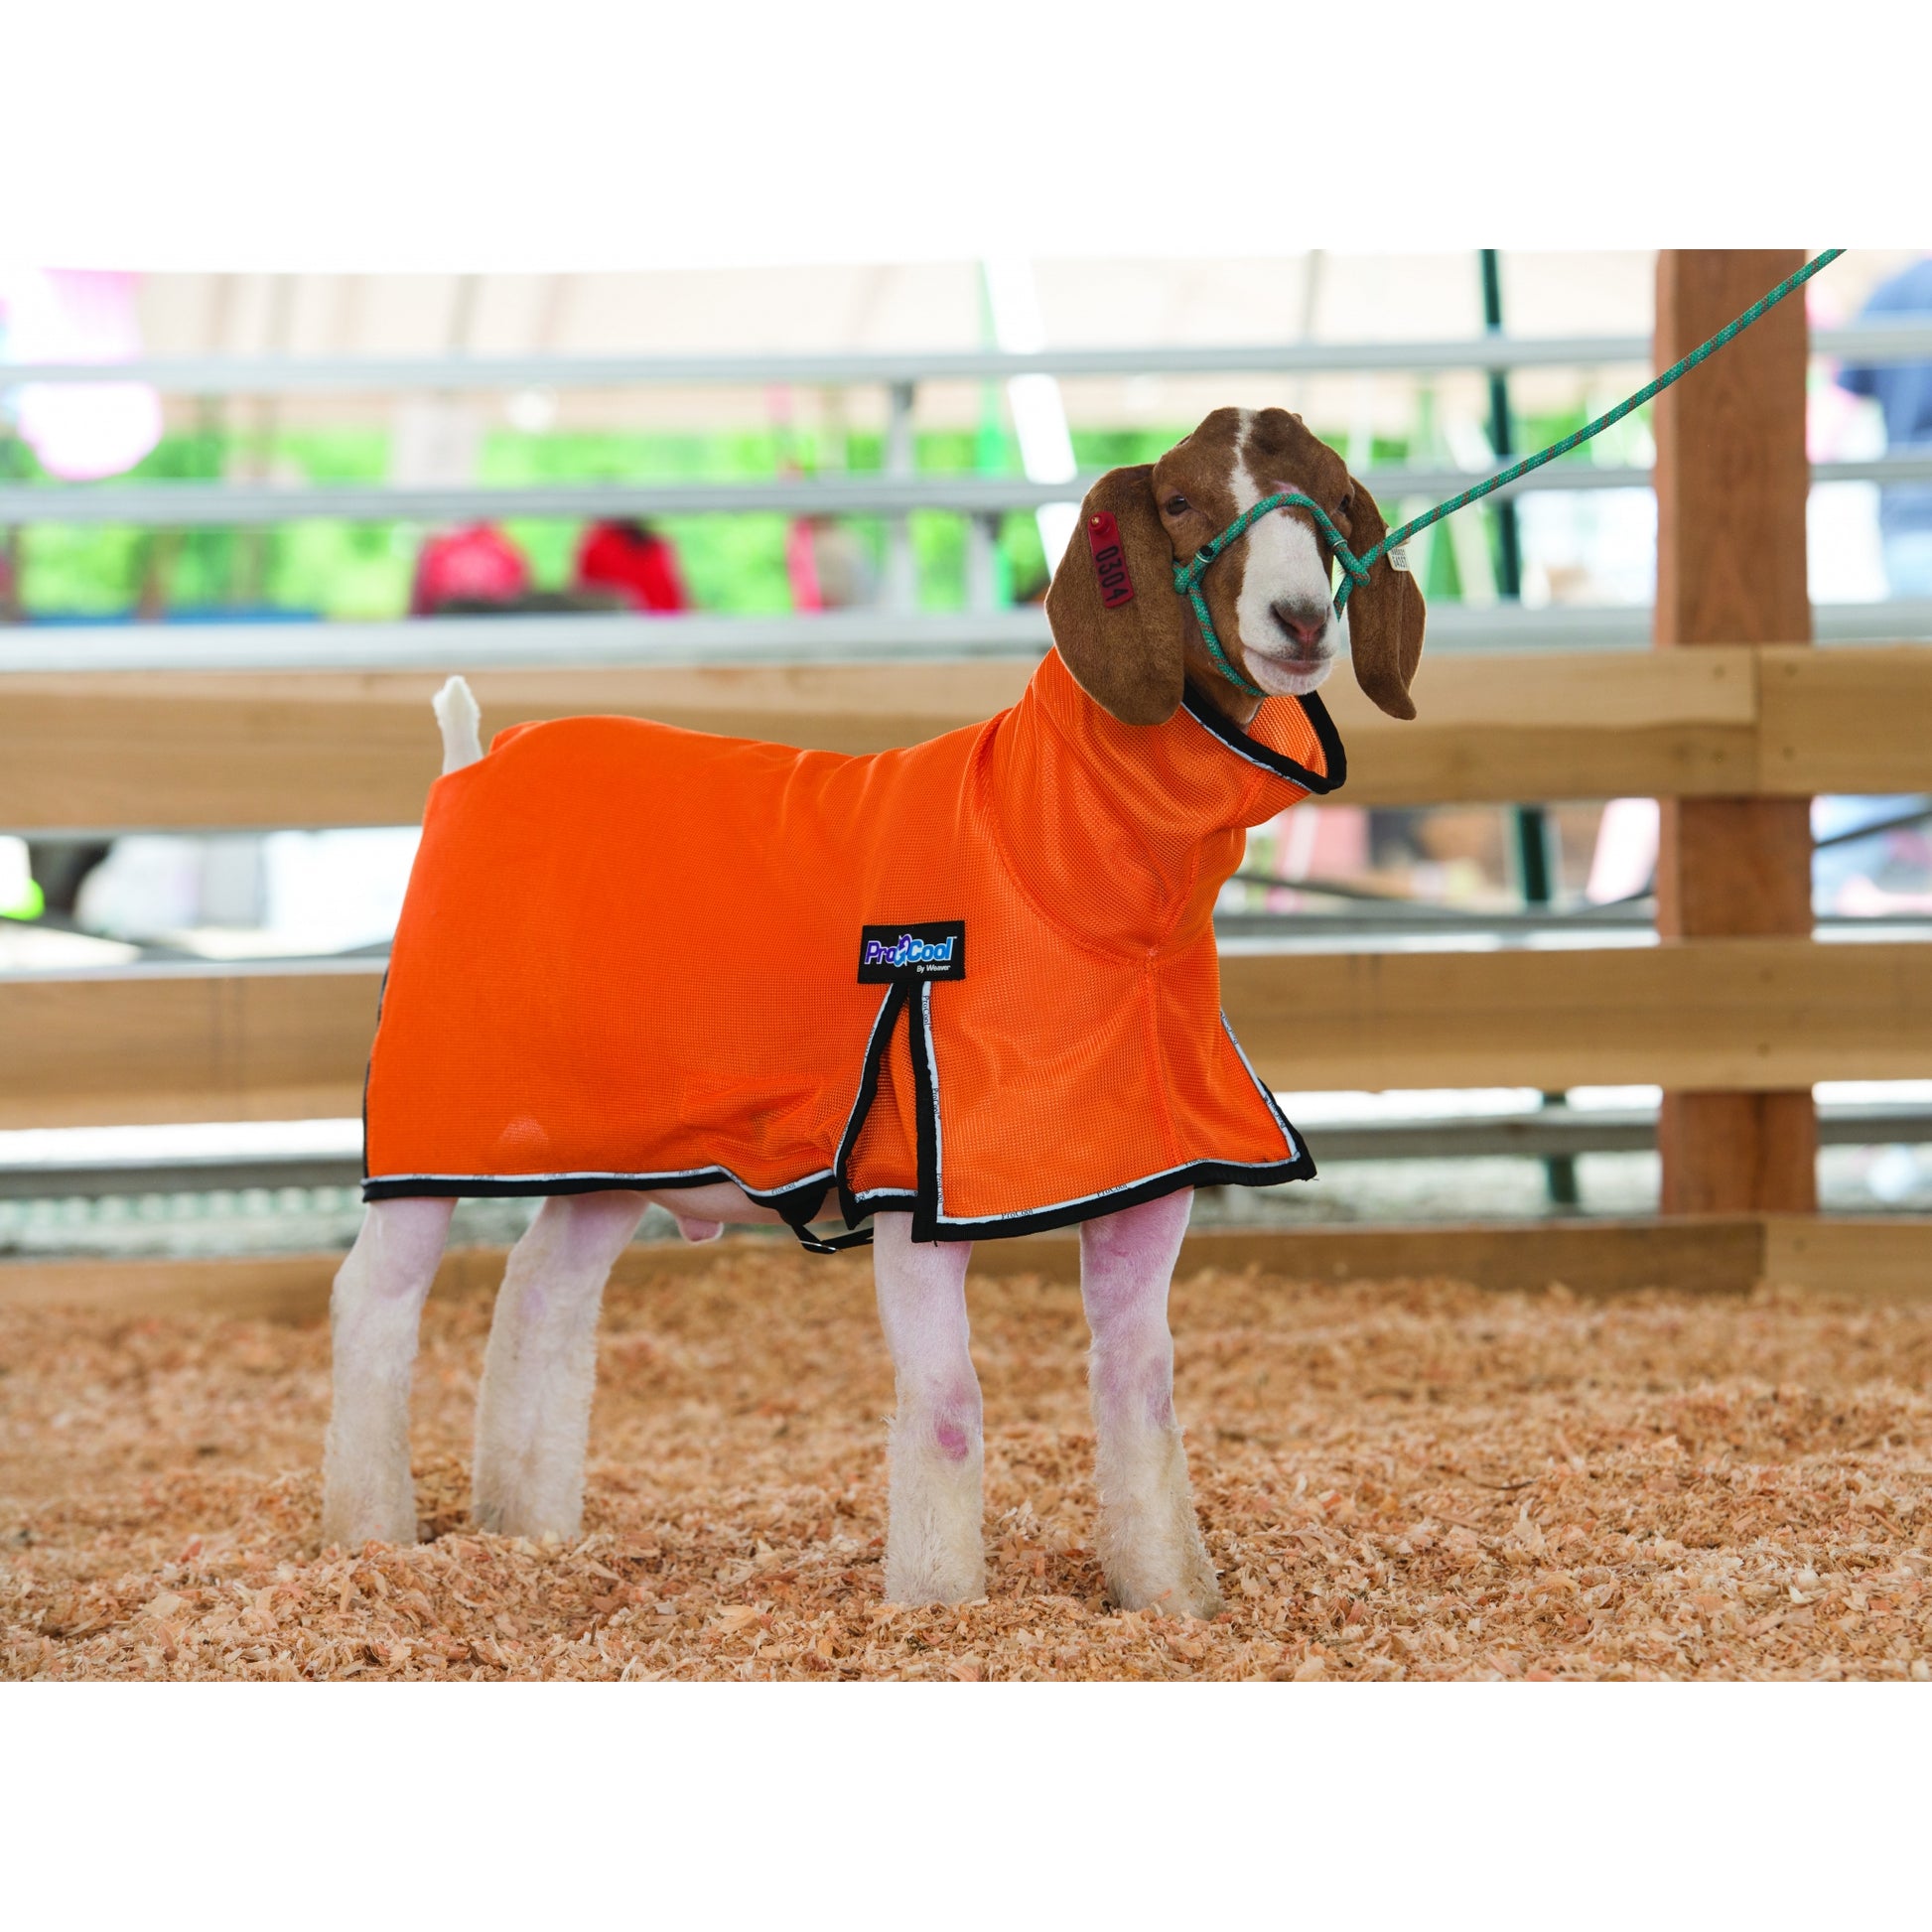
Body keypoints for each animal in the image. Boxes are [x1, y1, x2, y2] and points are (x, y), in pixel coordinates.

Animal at [322, 407, 1425, 1617]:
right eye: (1180, 502)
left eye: (1332, 499)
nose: (1299, 618)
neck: (1047, 857)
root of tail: (470, 761)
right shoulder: (914, 1169)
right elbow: (946, 1402)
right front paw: (939, 1605)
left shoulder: (1142, 1171)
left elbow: (1141, 1393)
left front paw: (1173, 1600)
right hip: (436, 1112)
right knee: (374, 1302)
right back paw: (371, 1534)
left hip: (616, 1147)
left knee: (542, 1293)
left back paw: (525, 1528)